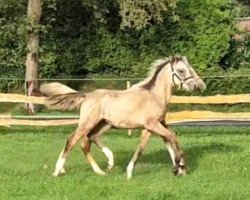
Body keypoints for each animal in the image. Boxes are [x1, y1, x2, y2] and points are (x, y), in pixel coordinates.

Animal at [42, 55, 205, 179]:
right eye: (181, 70)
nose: (198, 86)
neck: (154, 96)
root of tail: (86, 95)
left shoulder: (156, 125)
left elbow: (161, 144)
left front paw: (179, 169)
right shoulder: (152, 125)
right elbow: (171, 139)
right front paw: (179, 167)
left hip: (103, 124)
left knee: (87, 141)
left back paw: (104, 168)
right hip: (87, 123)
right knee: (72, 140)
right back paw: (58, 171)